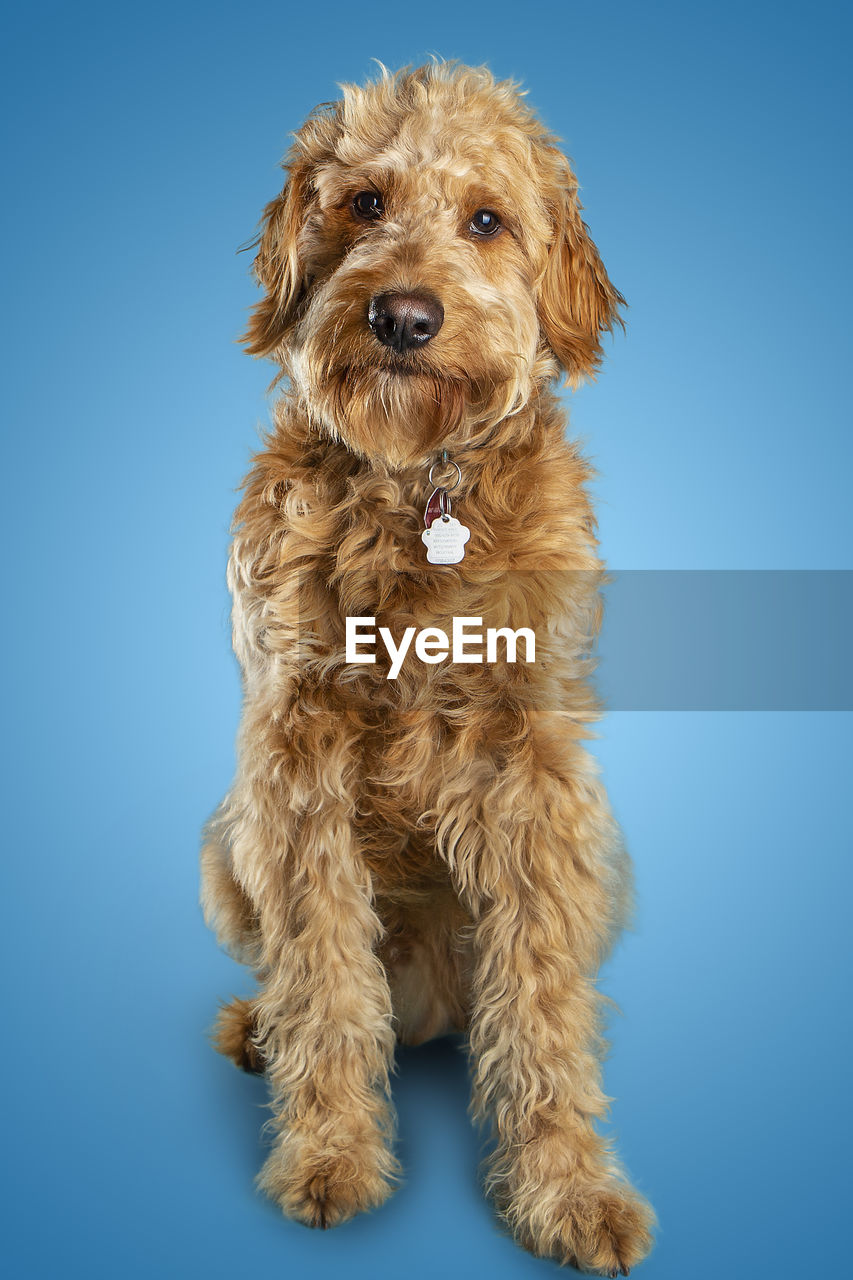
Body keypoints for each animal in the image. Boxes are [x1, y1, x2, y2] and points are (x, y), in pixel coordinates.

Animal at [202, 62, 653, 1280]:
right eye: (364, 203)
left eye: (486, 220)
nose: (402, 315)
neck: (418, 486)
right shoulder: (295, 759)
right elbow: (321, 975)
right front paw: (328, 1154)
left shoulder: (534, 770)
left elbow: (541, 995)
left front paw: (568, 1187)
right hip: (228, 847)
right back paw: (257, 1031)